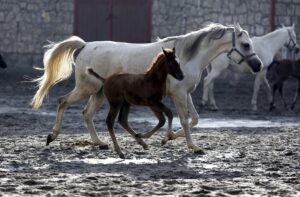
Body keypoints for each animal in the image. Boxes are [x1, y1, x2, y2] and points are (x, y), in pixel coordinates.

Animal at [29, 22, 260, 152]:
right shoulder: (178, 94)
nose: (258, 65)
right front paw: (193, 147)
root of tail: (85, 45)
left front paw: (167, 138)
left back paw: (100, 143)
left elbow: (194, 119)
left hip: (99, 93)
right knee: (63, 102)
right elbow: (185, 120)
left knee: (87, 113)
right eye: (246, 45)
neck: (187, 57)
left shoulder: (186, 93)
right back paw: (52, 136)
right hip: (88, 89)